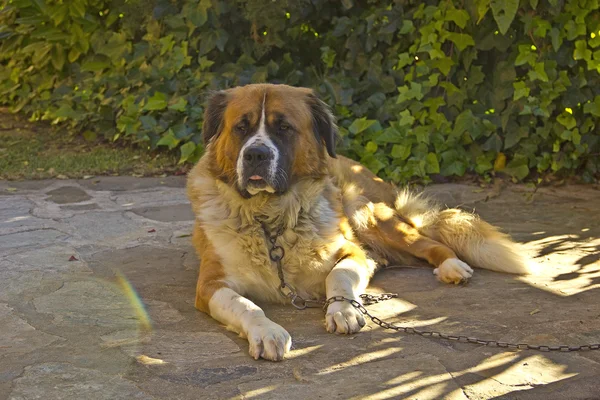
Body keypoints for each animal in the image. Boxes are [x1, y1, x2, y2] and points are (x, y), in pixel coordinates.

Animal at [186, 83, 528, 362]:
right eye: (240, 128)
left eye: (284, 127)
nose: (256, 155)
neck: (270, 220)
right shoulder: (210, 285)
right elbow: (245, 304)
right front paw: (266, 332)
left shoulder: (351, 251)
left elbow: (338, 276)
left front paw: (343, 310)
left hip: (369, 214)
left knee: (429, 243)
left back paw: (452, 266)